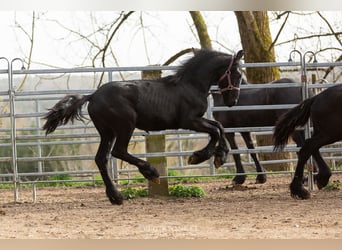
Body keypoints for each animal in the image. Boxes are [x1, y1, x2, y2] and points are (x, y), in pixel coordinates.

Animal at [42, 49, 244, 205]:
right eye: (237, 74)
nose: (233, 102)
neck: (191, 86)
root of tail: (92, 96)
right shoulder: (189, 121)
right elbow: (216, 130)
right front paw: (200, 157)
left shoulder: (196, 120)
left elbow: (219, 127)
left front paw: (219, 156)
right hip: (126, 126)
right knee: (119, 151)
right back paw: (150, 172)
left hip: (107, 132)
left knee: (101, 158)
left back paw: (115, 196)